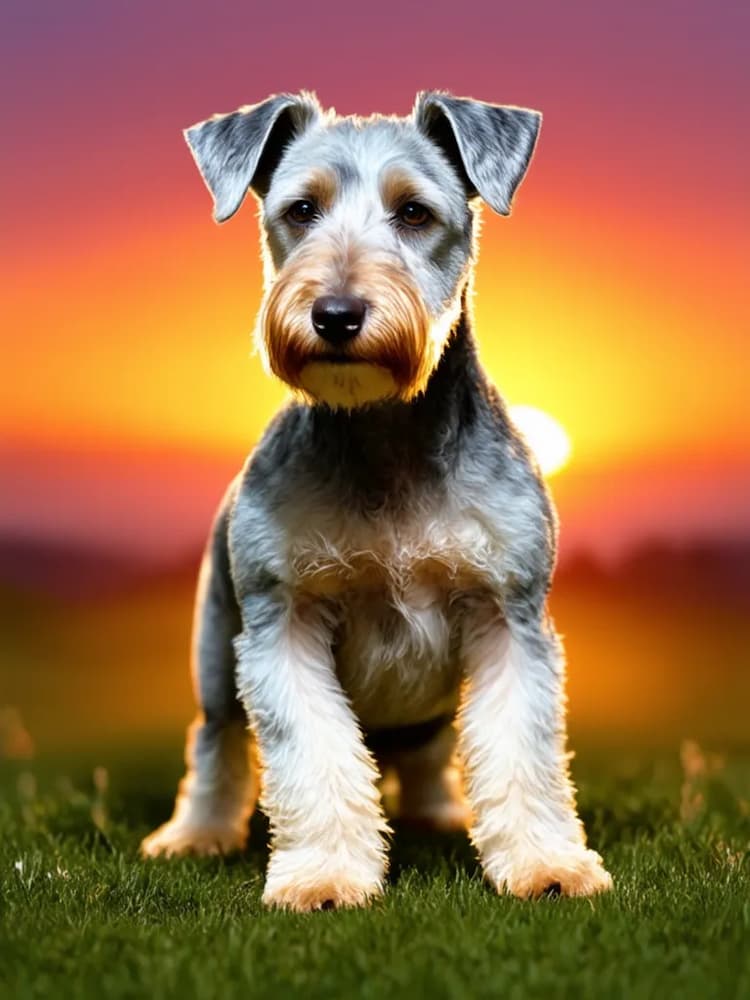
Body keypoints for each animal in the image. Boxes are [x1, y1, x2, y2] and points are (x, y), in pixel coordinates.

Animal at [142, 90, 616, 912]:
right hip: (215, 651)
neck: (387, 440)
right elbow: (316, 757)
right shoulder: (282, 624)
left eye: (415, 212)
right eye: (301, 209)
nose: (336, 314)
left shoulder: (509, 617)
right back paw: (195, 834)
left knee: (430, 753)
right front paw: (325, 877)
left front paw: (546, 866)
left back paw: (438, 812)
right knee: (216, 742)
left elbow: (520, 752)